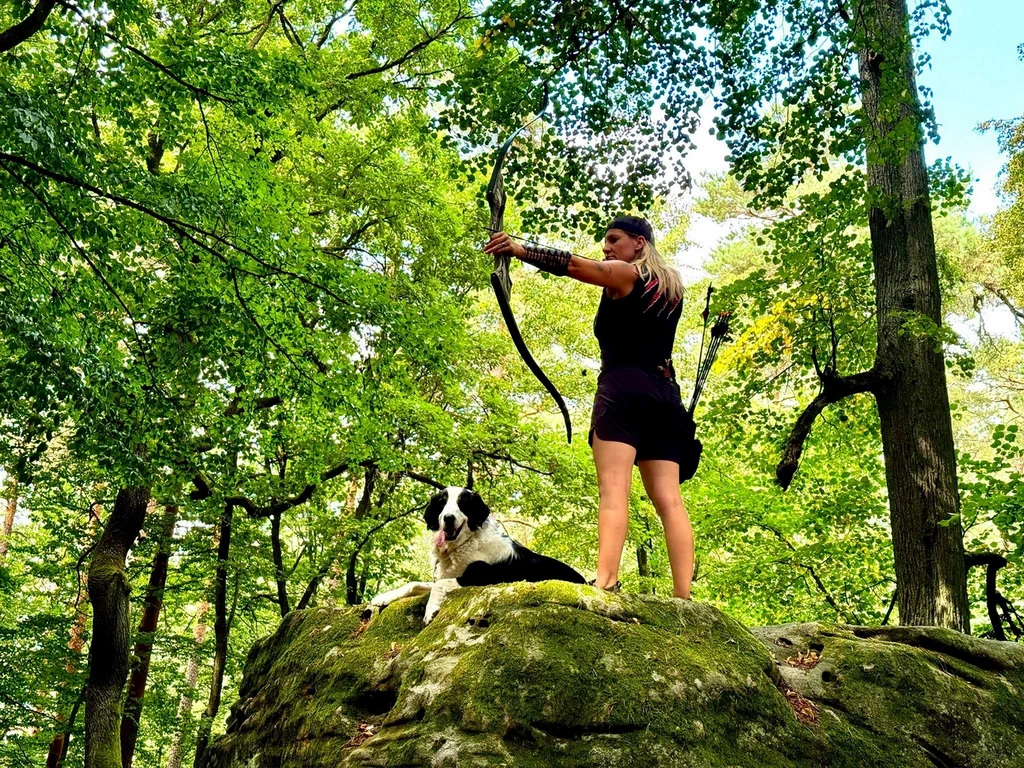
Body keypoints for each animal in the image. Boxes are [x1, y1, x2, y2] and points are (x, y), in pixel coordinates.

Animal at [368, 486, 587, 623]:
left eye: (463, 503)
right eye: (442, 503)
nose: (448, 518)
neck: (463, 544)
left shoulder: (484, 576)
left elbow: (439, 584)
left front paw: (430, 609)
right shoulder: (449, 573)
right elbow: (413, 584)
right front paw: (384, 597)